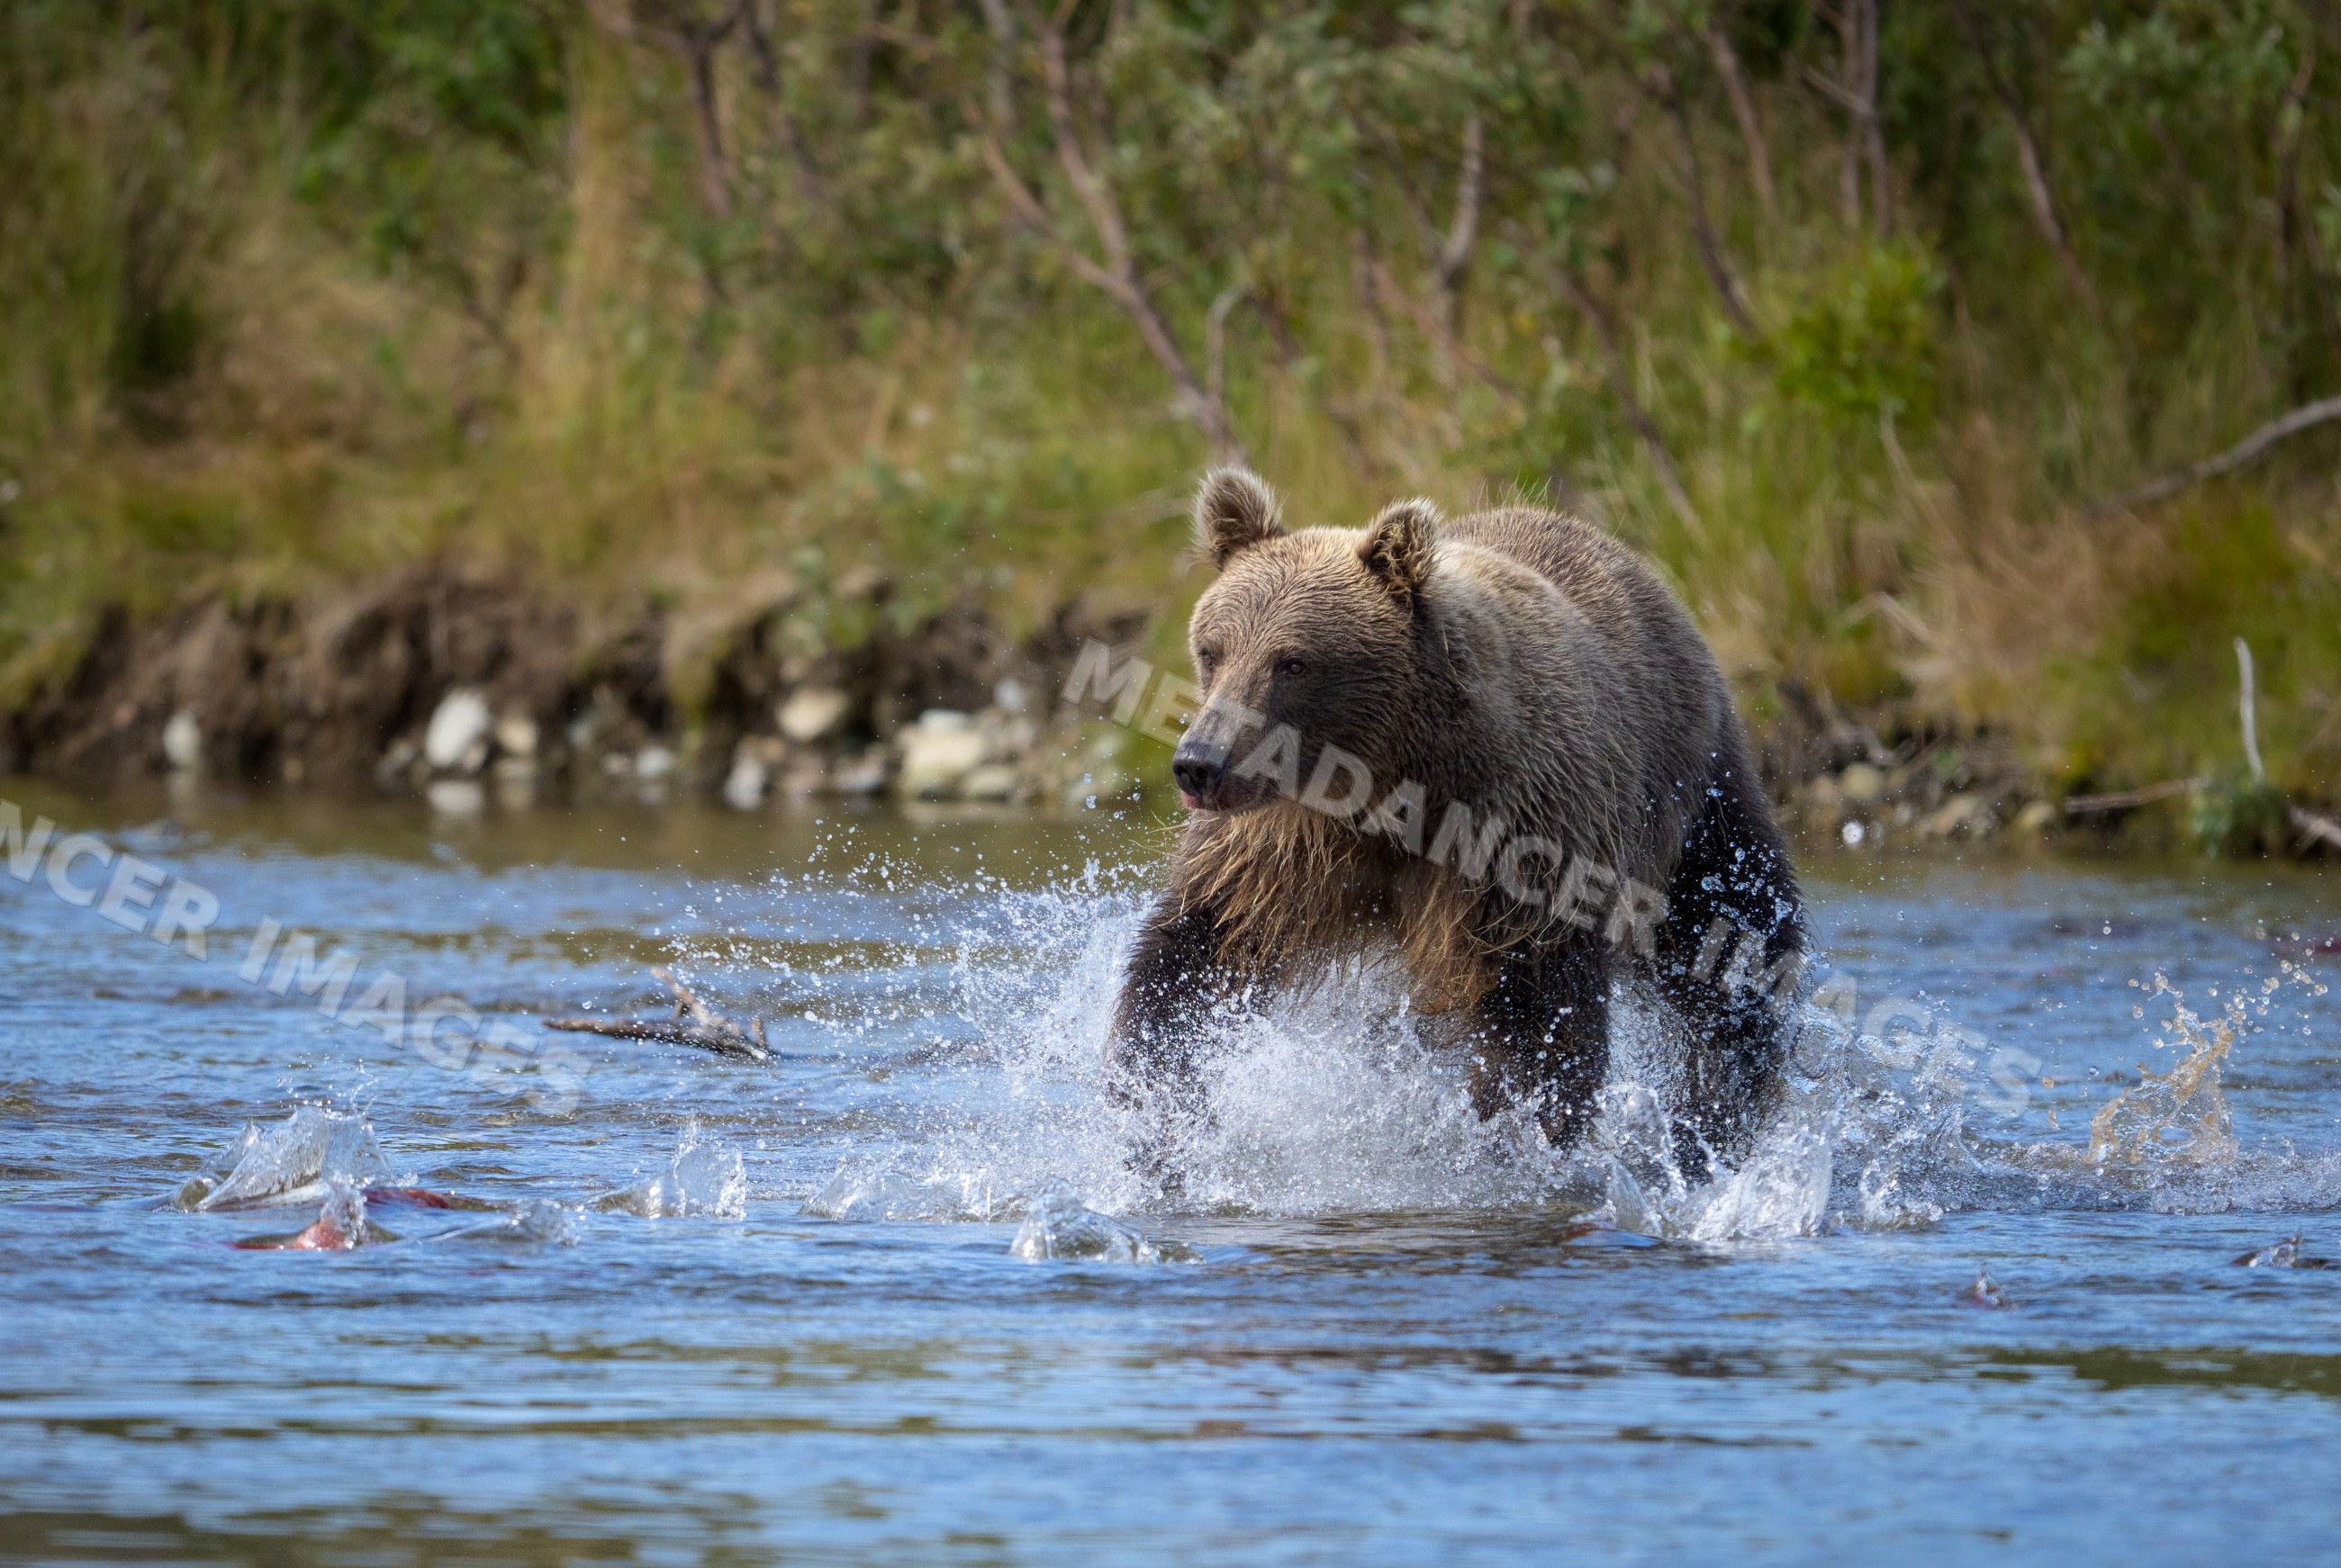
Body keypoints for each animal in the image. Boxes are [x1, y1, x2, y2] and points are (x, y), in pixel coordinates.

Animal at [1108, 467, 1806, 1182]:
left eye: (1292, 662)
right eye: (1212, 649)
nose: (1199, 764)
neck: (1391, 783)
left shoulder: (1521, 835)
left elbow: (1536, 1012)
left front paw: (1513, 1143)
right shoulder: (1280, 847)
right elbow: (1197, 947)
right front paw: (1150, 1111)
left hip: (1692, 798)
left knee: (1732, 947)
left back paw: (1719, 1118)